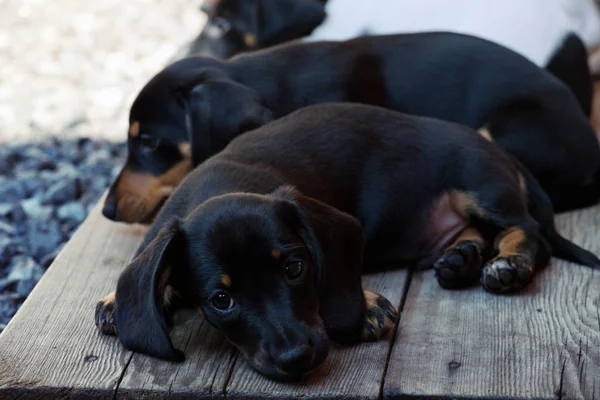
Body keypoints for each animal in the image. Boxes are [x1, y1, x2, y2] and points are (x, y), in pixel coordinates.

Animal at [96, 104, 596, 382]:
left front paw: (366, 304)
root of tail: (500, 151)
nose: (298, 357)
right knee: (473, 233)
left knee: (528, 231)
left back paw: (508, 265)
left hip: (479, 184)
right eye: (221, 299)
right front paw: (115, 300)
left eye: (294, 268)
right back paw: (461, 258)